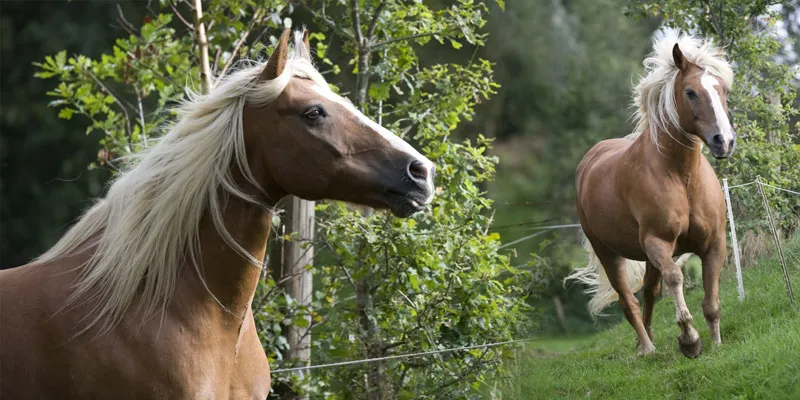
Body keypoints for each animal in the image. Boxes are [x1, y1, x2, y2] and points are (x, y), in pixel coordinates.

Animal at [564, 30, 736, 356]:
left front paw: (717, 343)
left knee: (649, 292)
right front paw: (689, 339)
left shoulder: (714, 244)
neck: (681, 176)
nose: (724, 141)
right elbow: (675, 277)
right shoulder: (658, 242)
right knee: (628, 300)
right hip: (609, 254)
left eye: (723, 89)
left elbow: (711, 302)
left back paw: (647, 341)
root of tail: (589, 161)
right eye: (691, 92)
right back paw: (646, 348)